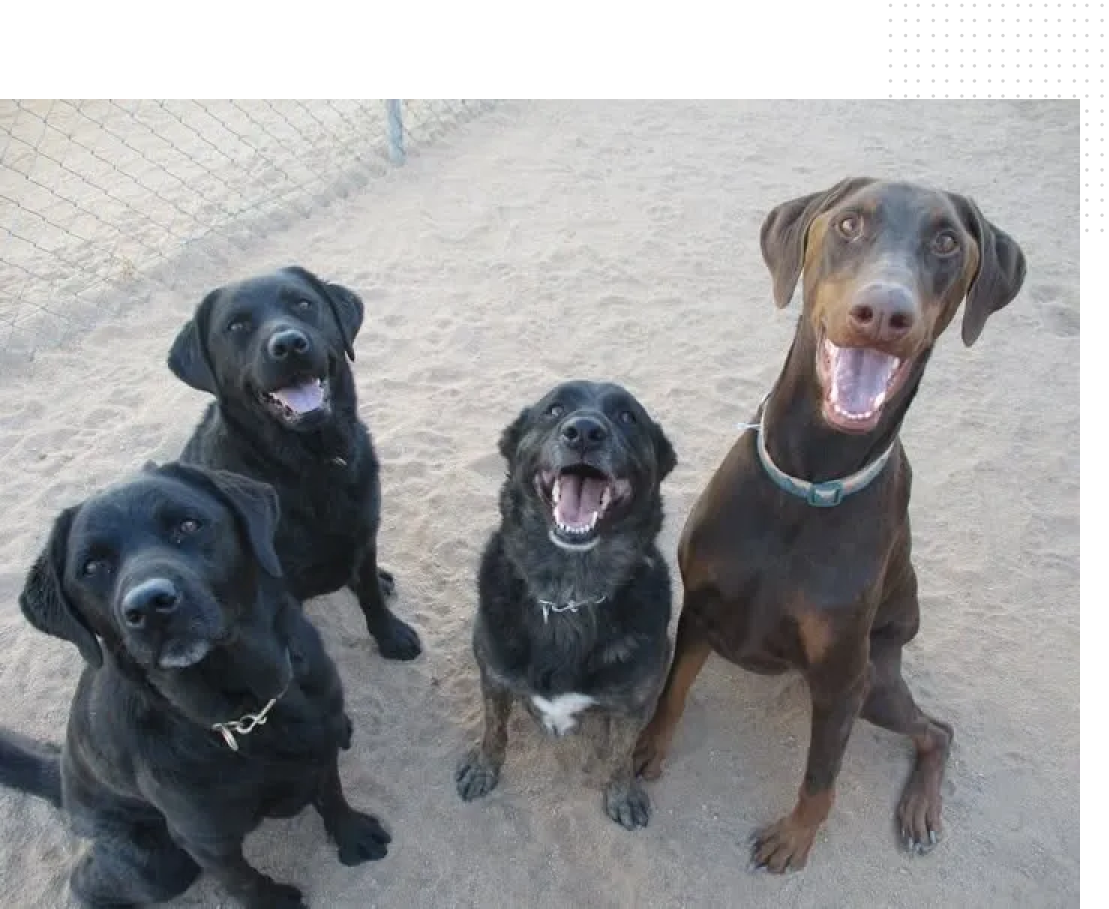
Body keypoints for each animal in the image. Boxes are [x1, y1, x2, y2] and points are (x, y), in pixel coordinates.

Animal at [0, 461, 390, 909]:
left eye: (187, 525)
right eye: (92, 567)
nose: (149, 606)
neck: (247, 711)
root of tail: (63, 774)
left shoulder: (322, 743)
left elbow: (332, 794)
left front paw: (353, 835)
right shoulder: (206, 840)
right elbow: (242, 880)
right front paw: (273, 901)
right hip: (158, 863)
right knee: (86, 880)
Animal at [167, 268, 419, 660]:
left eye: (303, 303)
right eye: (236, 325)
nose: (288, 345)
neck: (310, 464)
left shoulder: (364, 531)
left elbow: (371, 596)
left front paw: (391, 635)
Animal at [454, 379, 678, 829]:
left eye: (627, 416)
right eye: (554, 409)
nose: (585, 432)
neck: (568, 594)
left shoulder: (634, 705)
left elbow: (621, 753)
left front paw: (622, 793)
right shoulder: (493, 679)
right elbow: (494, 730)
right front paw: (484, 767)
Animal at [638, 176, 1024, 864]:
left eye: (947, 242)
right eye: (848, 224)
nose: (885, 313)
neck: (810, 481)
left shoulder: (844, 678)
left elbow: (822, 775)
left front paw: (795, 837)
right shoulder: (700, 608)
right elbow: (673, 690)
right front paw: (649, 749)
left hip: (876, 681)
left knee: (938, 731)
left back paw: (920, 808)